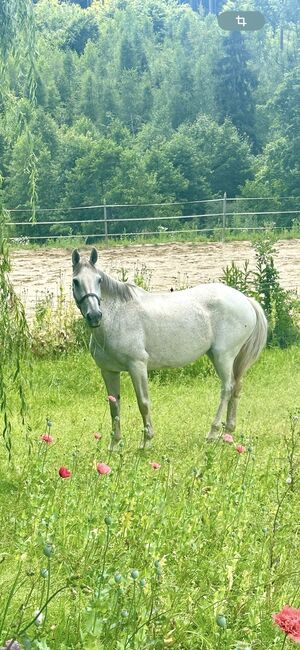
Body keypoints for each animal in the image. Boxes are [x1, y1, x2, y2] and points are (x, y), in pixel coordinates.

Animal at [72, 246, 268, 448]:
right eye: (75, 281)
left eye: (99, 280)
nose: (94, 316)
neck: (118, 315)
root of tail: (246, 300)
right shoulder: (108, 370)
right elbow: (114, 405)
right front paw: (114, 445)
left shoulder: (137, 366)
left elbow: (143, 402)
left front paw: (146, 442)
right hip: (224, 357)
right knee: (236, 388)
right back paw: (227, 433)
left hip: (224, 356)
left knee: (227, 388)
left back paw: (213, 433)